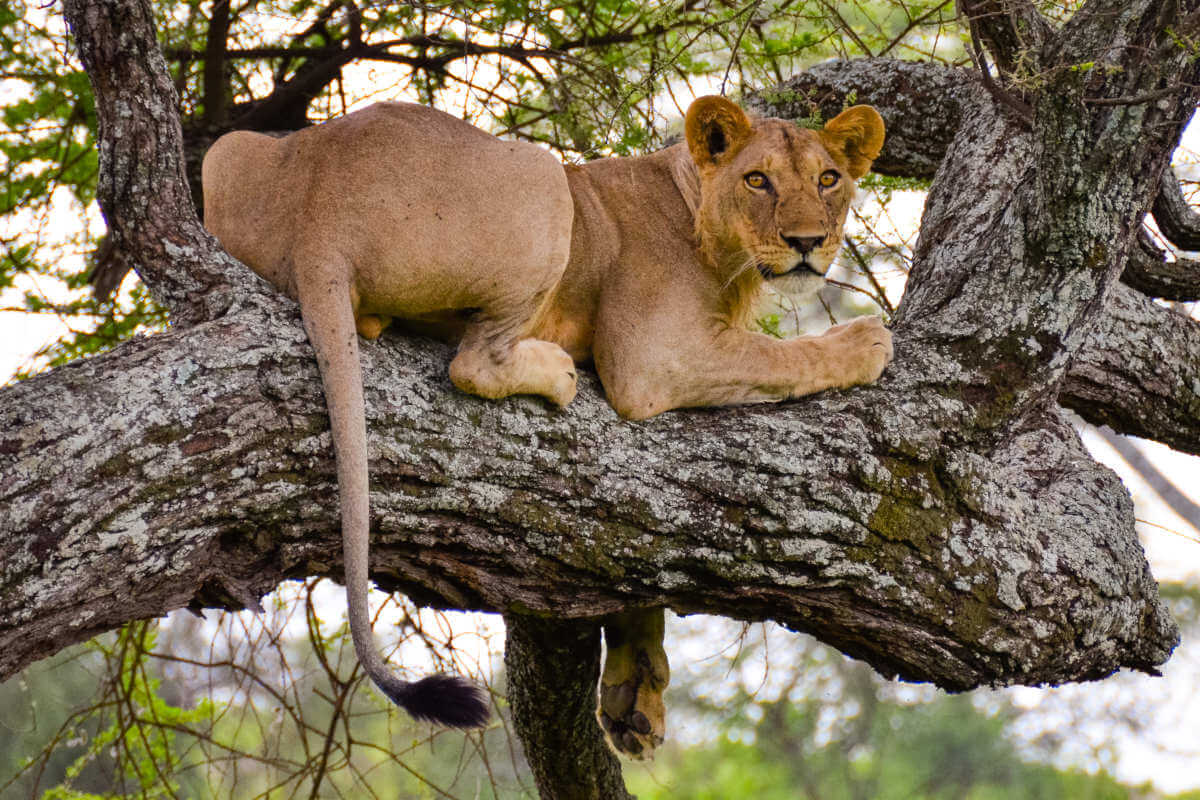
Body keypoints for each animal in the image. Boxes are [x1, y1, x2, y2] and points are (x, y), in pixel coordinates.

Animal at [201, 94, 890, 757]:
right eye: (757, 180)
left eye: (828, 179)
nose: (808, 242)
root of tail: (319, 215)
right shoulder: (652, 359)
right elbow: (779, 355)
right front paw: (866, 341)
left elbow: (640, 570)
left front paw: (635, 694)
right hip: (544, 179)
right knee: (474, 360)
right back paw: (556, 372)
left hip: (224, 153)